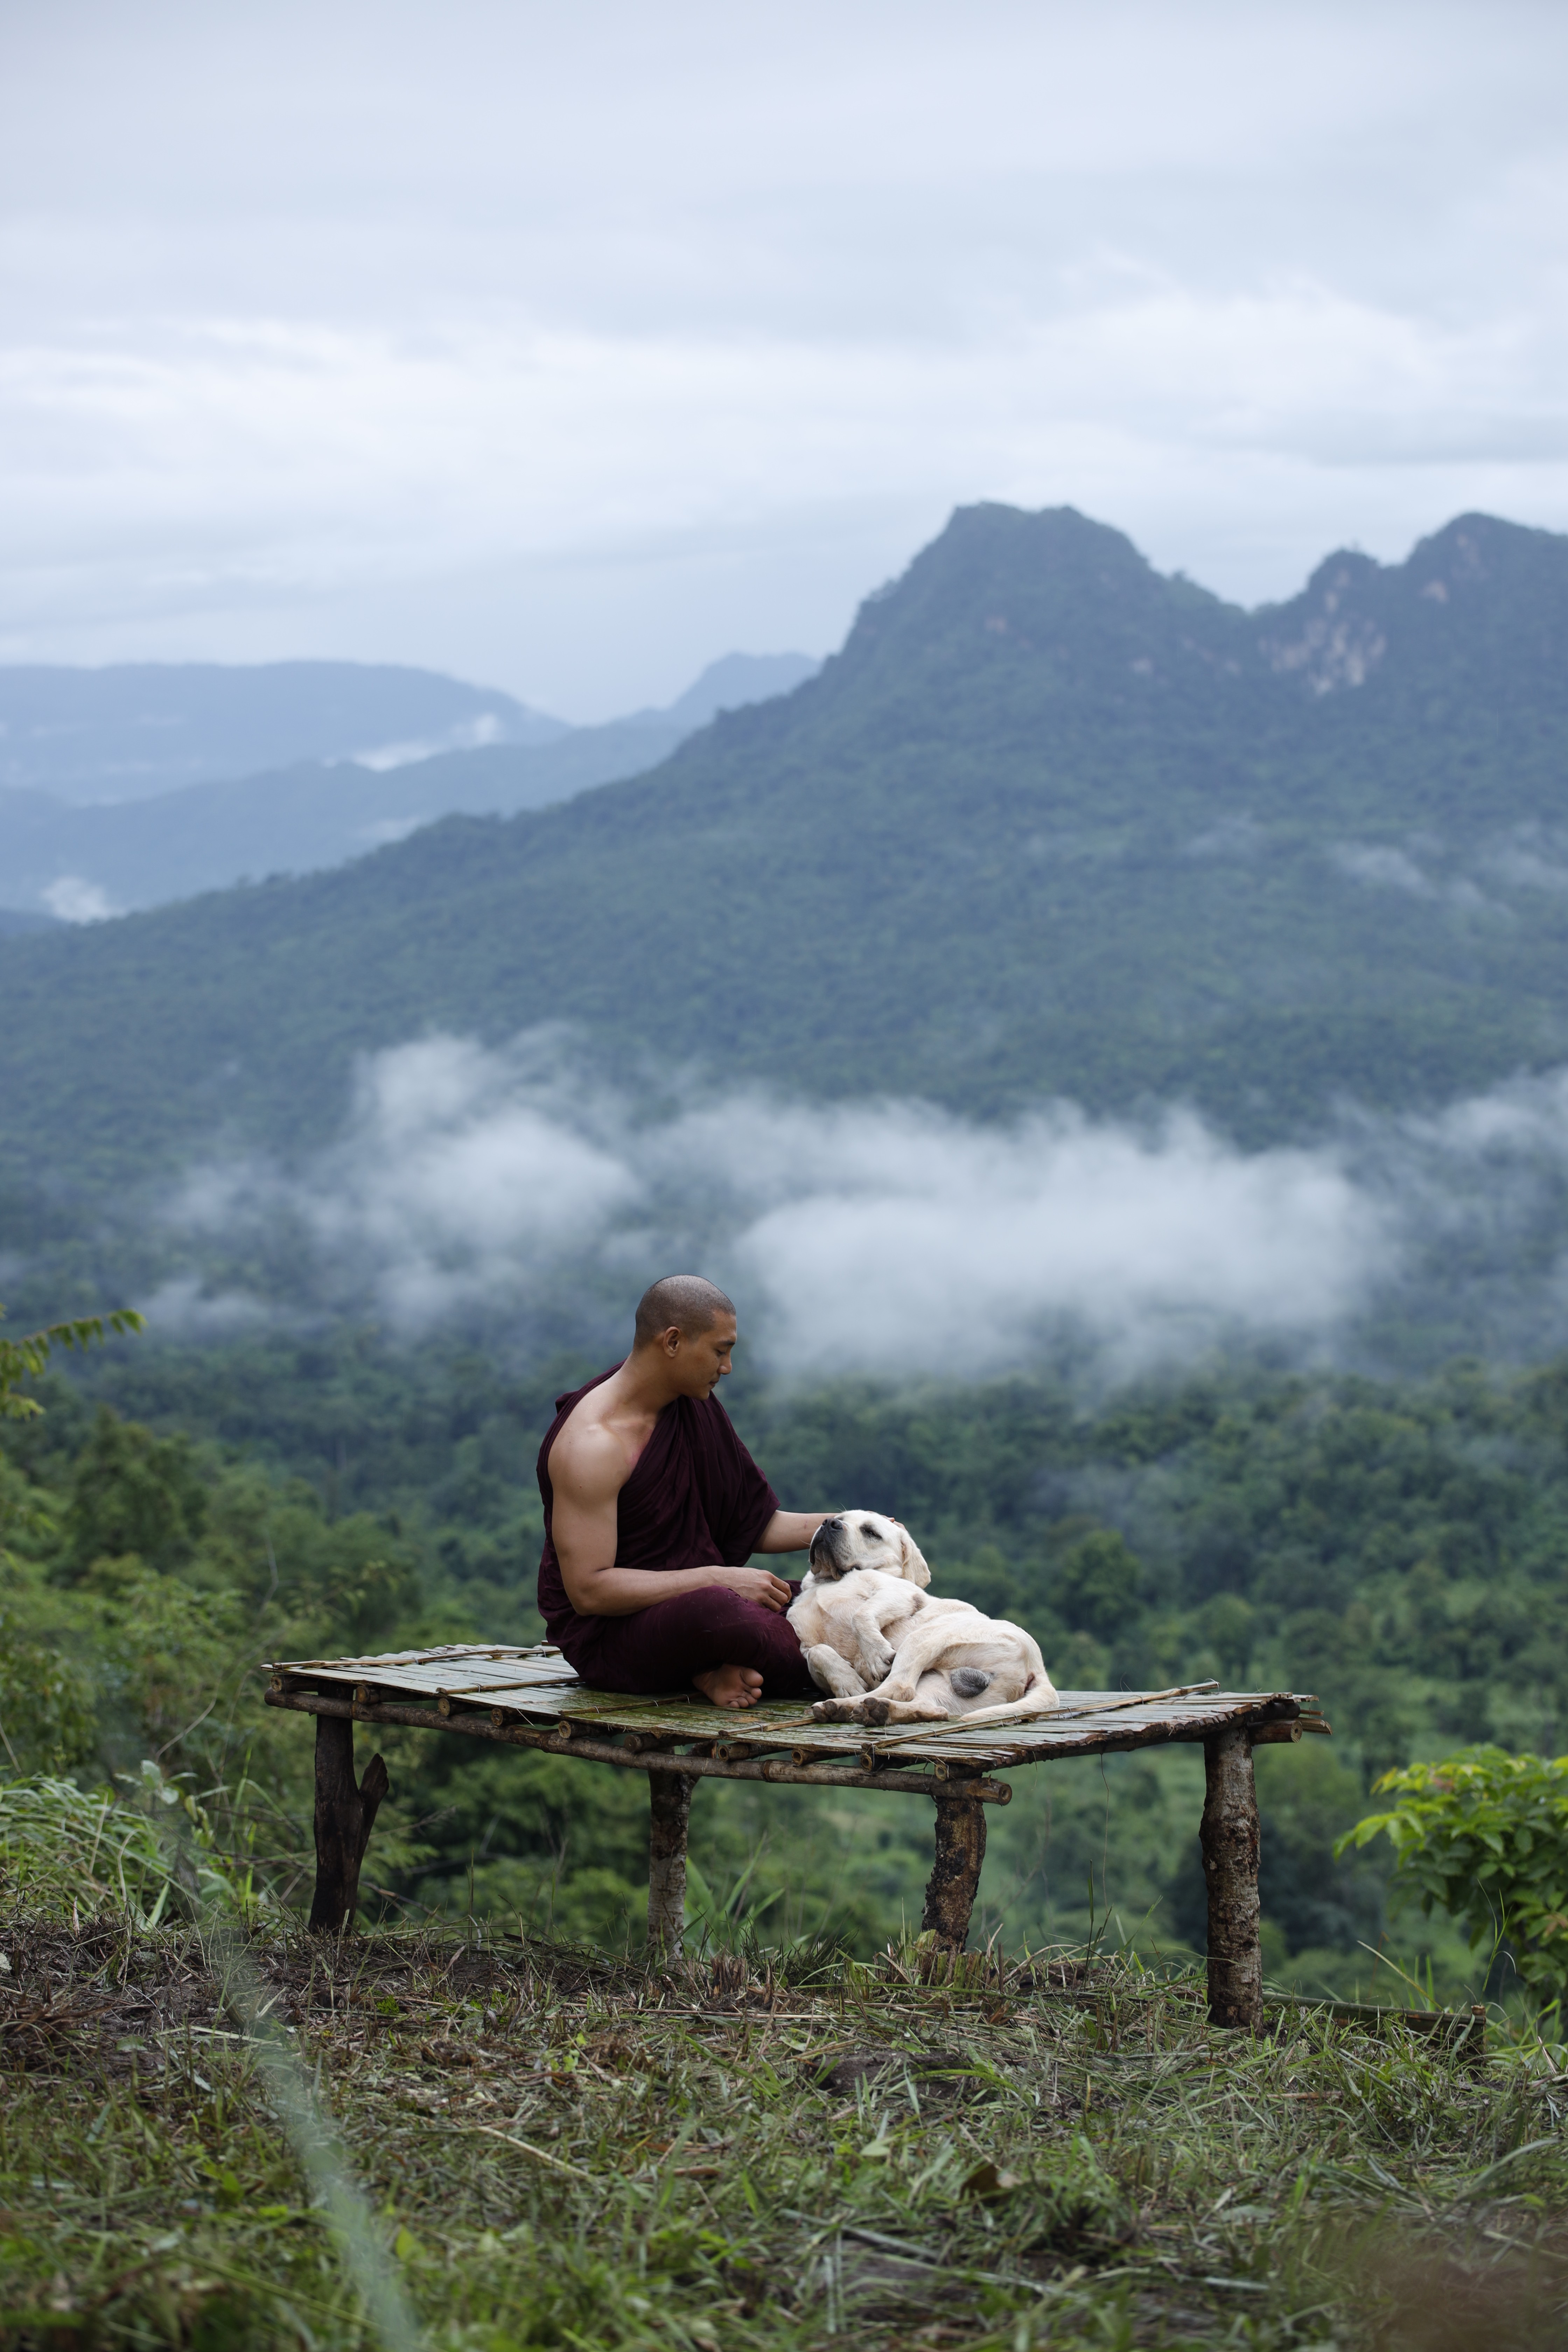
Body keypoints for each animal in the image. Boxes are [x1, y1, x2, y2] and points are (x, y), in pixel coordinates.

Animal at [790, 1505, 1062, 1731]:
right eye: (841, 1518)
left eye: (871, 1532)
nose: (829, 1523)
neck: (826, 1581)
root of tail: (1038, 1669)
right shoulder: (805, 1643)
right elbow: (817, 1653)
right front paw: (846, 1681)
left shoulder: (900, 1593)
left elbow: (861, 1614)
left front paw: (875, 1654)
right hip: (941, 1687)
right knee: (929, 1706)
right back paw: (863, 1710)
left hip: (924, 1637)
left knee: (898, 1687)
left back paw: (850, 1706)